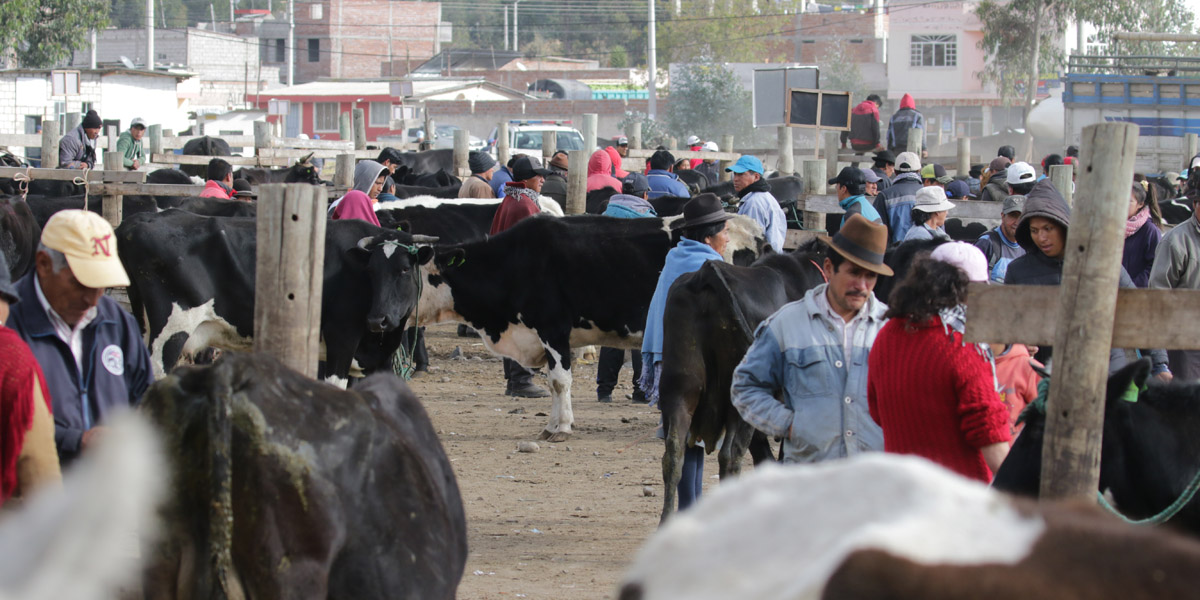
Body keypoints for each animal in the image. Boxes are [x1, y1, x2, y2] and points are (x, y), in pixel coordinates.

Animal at [115, 208, 436, 381]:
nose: (377, 320)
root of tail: (137, 220)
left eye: (404, 269)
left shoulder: (379, 359)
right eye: (371, 271)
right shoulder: (340, 339)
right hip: (170, 331)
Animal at [415, 212, 768, 441]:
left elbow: (560, 381)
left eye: (417, 274)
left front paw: (561, 429)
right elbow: (553, 383)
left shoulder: (553, 328)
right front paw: (553, 425)